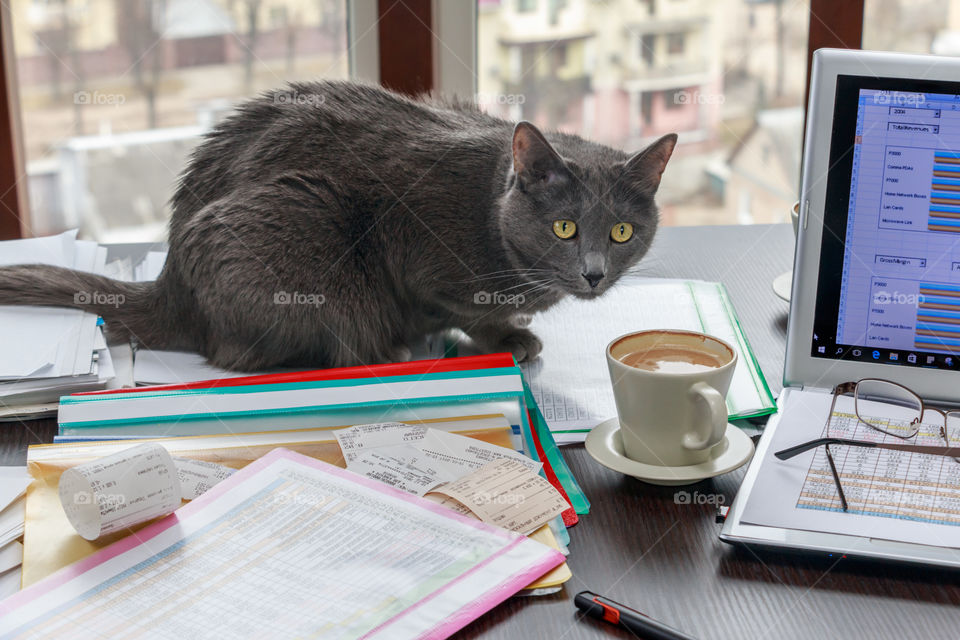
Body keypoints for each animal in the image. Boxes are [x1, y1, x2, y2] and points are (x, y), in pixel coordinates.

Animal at [0, 81, 676, 370]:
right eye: (565, 229)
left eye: (621, 233)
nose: (593, 274)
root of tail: (170, 285)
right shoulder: (419, 258)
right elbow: (468, 312)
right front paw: (506, 338)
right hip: (303, 226)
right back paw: (388, 349)